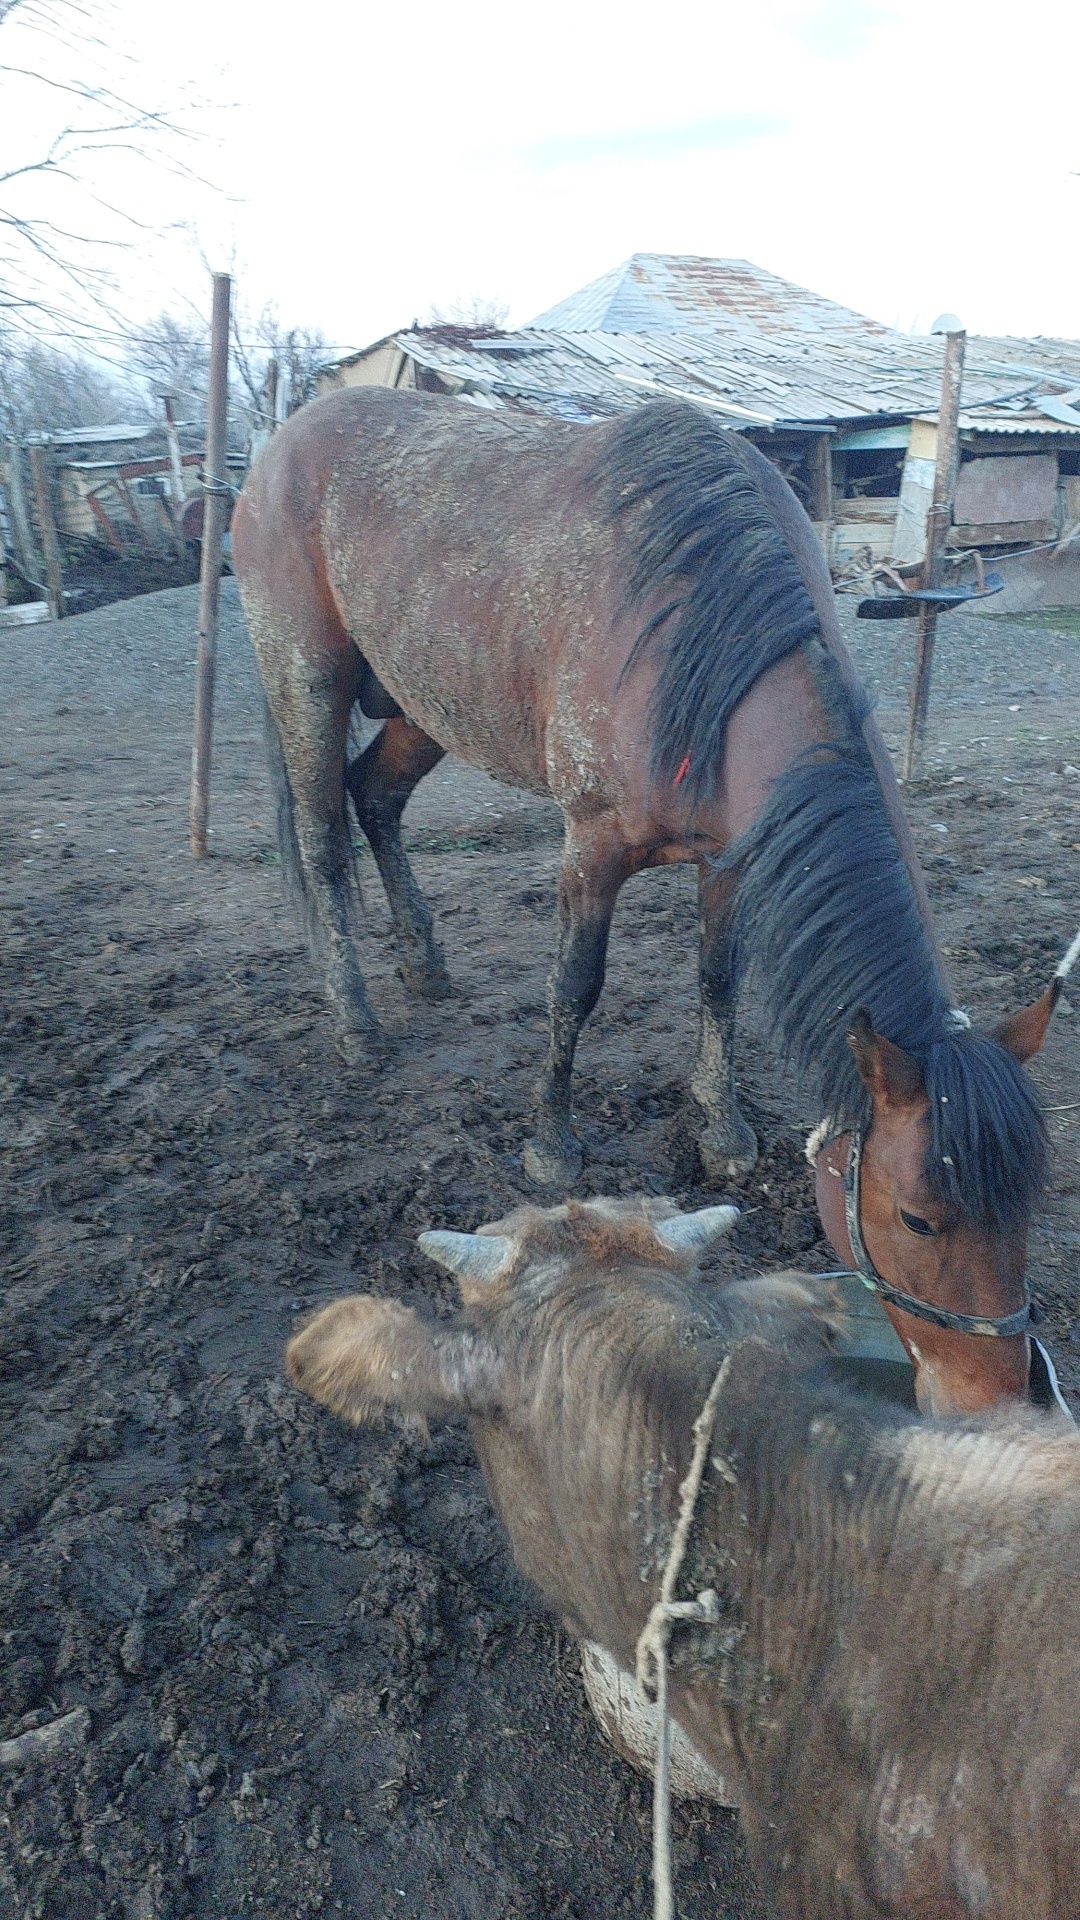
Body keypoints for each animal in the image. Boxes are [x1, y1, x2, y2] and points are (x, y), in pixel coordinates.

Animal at [231, 385, 1060, 1413]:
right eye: (917, 1217)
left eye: (1030, 1203)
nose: (997, 1400)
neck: (701, 636)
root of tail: (283, 441)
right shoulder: (591, 850)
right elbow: (573, 991)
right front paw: (552, 1144)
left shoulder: (729, 859)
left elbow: (718, 982)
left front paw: (721, 1124)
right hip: (307, 681)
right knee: (322, 842)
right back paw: (357, 1021)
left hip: (421, 706)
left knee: (374, 800)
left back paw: (423, 963)